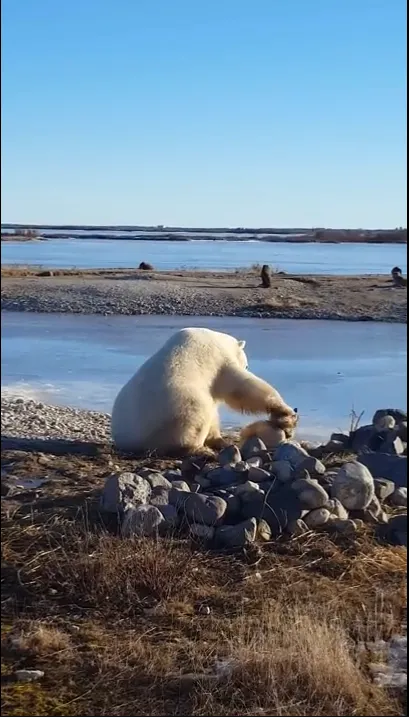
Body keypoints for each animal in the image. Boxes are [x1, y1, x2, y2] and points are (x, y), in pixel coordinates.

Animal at [111, 326, 296, 454]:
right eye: (247, 364)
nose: (247, 365)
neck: (217, 338)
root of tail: (131, 441)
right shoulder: (218, 359)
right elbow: (241, 388)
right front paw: (286, 413)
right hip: (176, 407)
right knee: (197, 414)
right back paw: (200, 450)